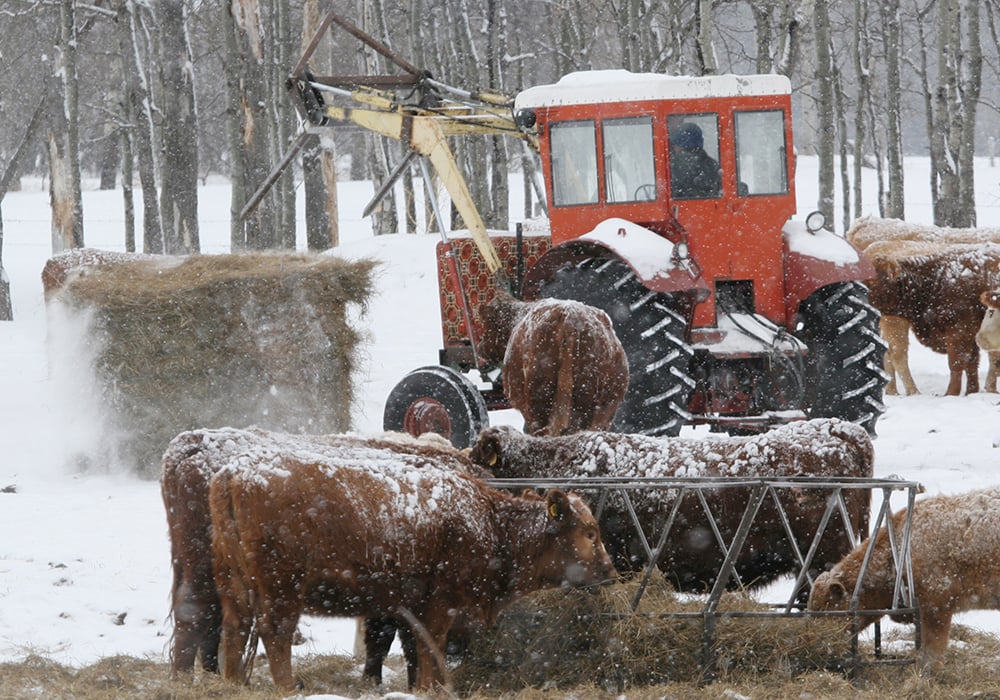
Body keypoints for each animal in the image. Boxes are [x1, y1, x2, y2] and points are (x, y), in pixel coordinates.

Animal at [160, 426, 484, 681]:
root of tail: (193, 442)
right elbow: (393, 634)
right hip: (208, 567)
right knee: (196, 612)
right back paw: (185, 678)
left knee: (212, 618)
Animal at [208, 440, 616, 691]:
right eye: (590, 532)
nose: (610, 573)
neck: (486, 519)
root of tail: (233, 472)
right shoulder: (440, 604)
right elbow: (429, 648)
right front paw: (429, 688)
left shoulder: (410, 608)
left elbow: (413, 652)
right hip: (281, 590)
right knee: (274, 634)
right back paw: (287, 687)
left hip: (233, 583)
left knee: (235, 627)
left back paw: (232, 684)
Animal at [847, 217, 1000, 394]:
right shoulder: (961, 329)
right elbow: (963, 361)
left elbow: (973, 361)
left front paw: (975, 391)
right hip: (893, 321)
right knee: (897, 353)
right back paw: (911, 391)